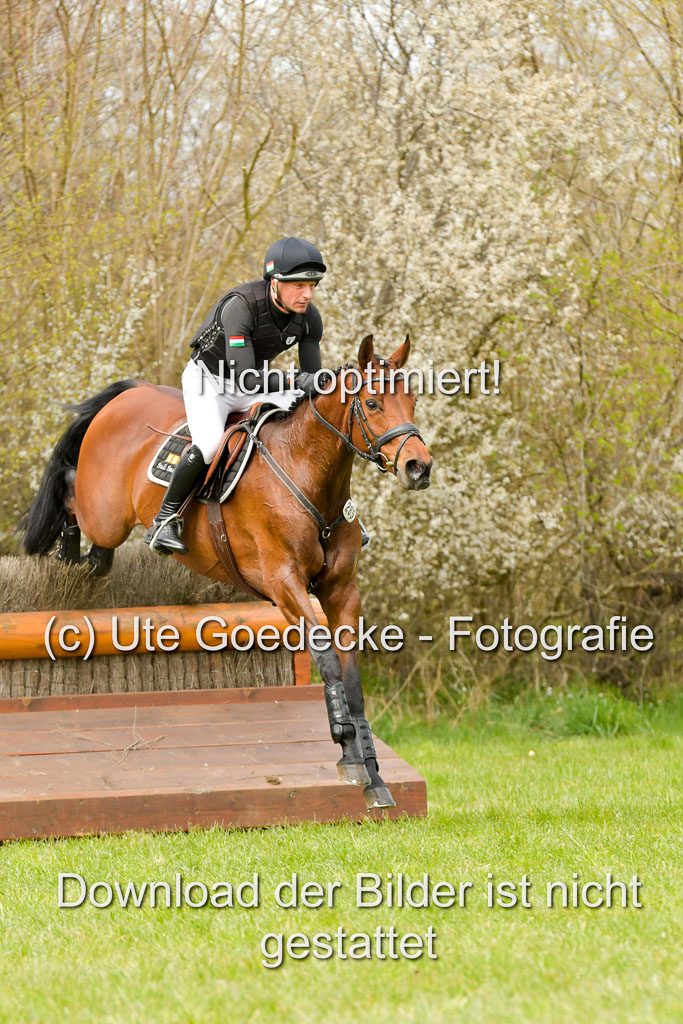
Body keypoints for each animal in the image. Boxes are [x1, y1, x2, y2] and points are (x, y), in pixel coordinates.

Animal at [25, 335, 438, 806]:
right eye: (372, 403)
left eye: (413, 400)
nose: (419, 467)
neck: (307, 470)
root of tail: (129, 394)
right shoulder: (285, 584)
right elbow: (329, 661)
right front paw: (348, 752)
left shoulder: (341, 591)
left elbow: (351, 680)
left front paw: (374, 775)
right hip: (105, 512)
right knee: (70, 490)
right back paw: (68, 548)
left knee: (99, 551)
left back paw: (88, 559)